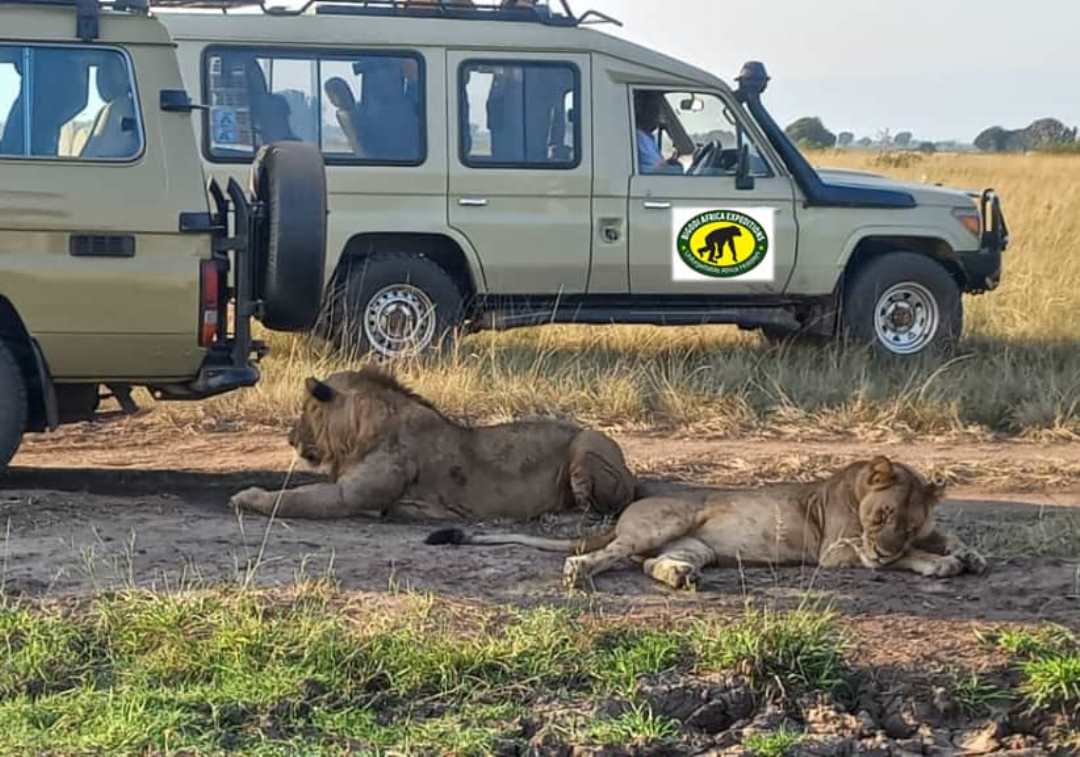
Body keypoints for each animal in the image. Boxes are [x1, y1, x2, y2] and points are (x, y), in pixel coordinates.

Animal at [227, 367, 630, 520]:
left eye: (306, 408)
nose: (289, 437)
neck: (357, 434)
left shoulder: (351, 498)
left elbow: (289, 498)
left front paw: (247, 496)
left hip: (587, 444)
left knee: (599, 508)